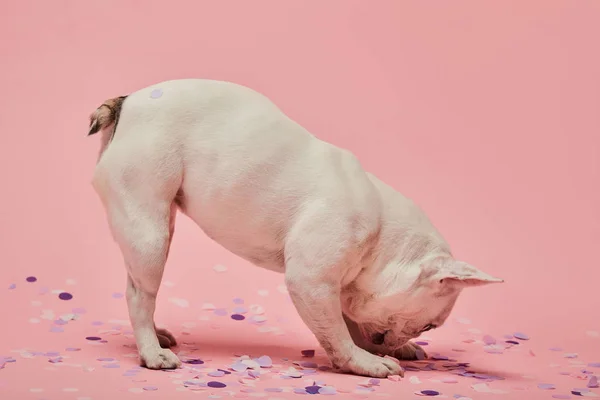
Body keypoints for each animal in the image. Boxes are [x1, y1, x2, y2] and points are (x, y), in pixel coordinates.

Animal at [88, 79, 502, 378]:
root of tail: (129, 102)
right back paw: (151, 352)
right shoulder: (312, 282)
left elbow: (349, 321)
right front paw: (364, 362)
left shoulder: (338, 287)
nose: (407, 337)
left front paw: (388, 349)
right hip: (150, 233)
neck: (383, 237)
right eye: (430, 325)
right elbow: (336, 332)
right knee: (140, 294)